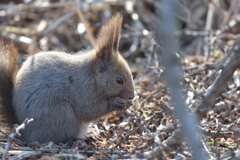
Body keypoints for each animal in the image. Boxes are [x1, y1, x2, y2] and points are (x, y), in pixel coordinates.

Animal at [0, 14, 135, 144]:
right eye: (119, 81)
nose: (132, 96)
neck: (92, 75)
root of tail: (23, 132)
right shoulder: (83, 90)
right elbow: (89, 109)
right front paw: (117, 103)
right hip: (61, 114)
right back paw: (78, 138)